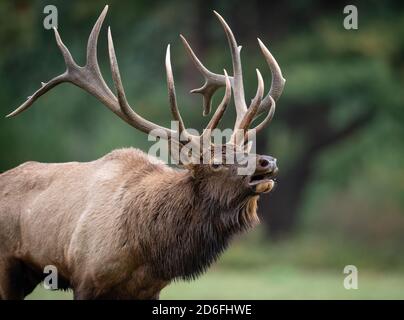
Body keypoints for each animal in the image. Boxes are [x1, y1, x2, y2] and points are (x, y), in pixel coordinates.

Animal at [0, 5, 284, 300]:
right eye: (216, 162)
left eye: (244, 150)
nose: (267, 161)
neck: (146, 250)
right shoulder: (85, 276)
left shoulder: (149, 289)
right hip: (7, 265)